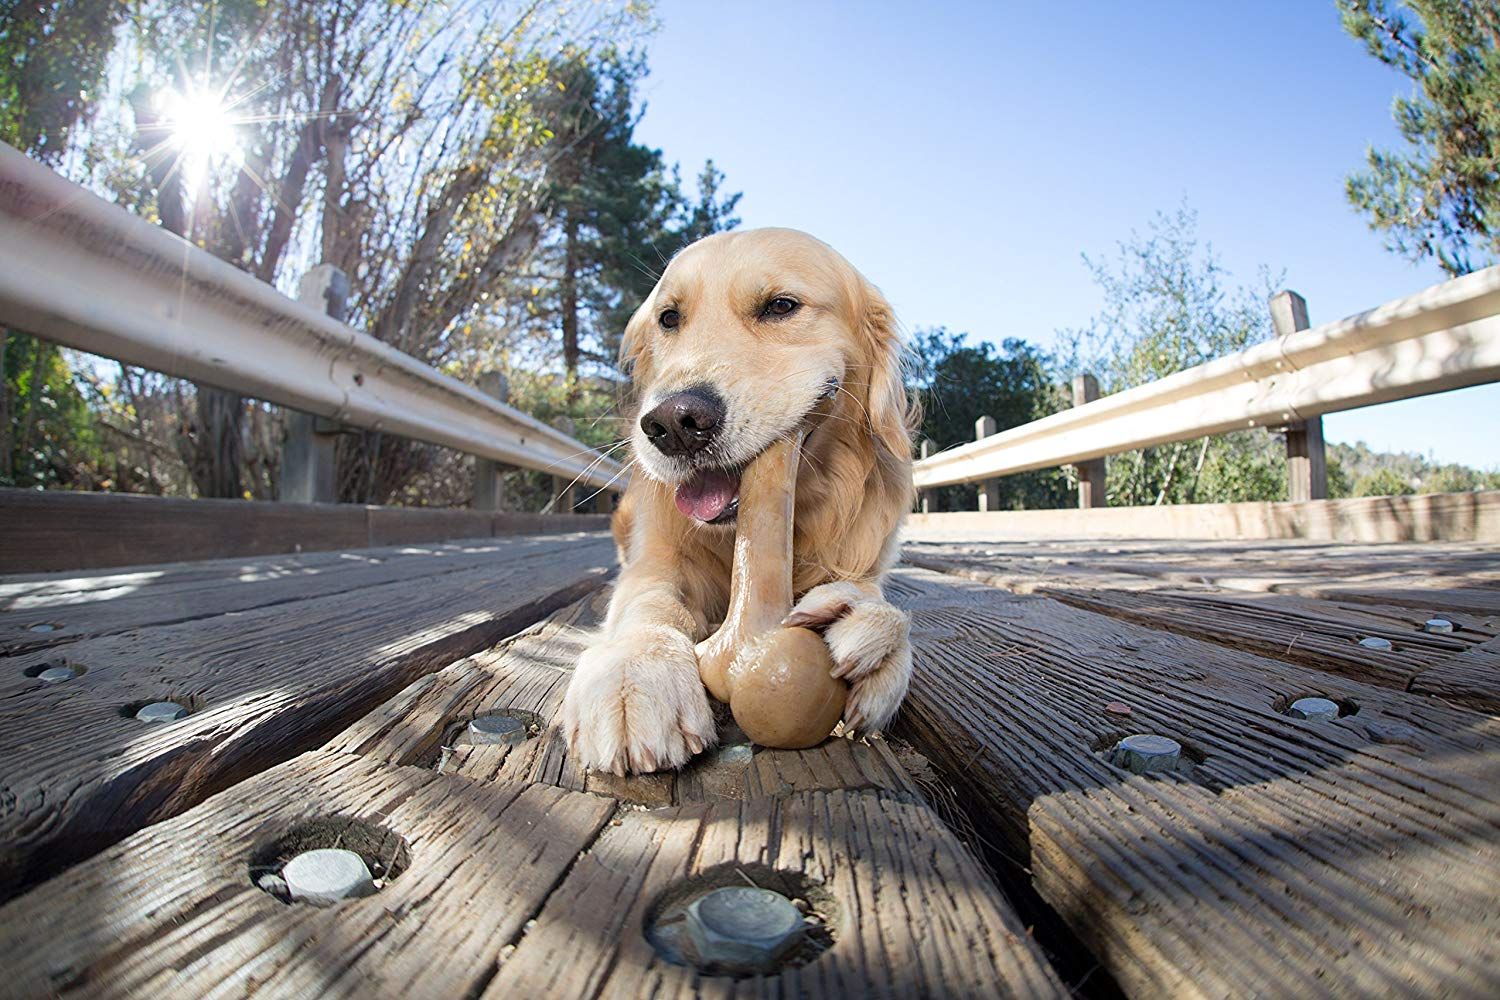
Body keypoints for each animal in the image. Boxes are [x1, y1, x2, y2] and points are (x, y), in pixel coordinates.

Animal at [564, 226, 912, 773]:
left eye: (780, 306)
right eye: (669, 318)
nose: (674, 423)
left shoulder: (862, 560)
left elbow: (871, 595)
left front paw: (868, 626)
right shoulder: (656, 559)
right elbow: (649, 600)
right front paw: (634, 670)